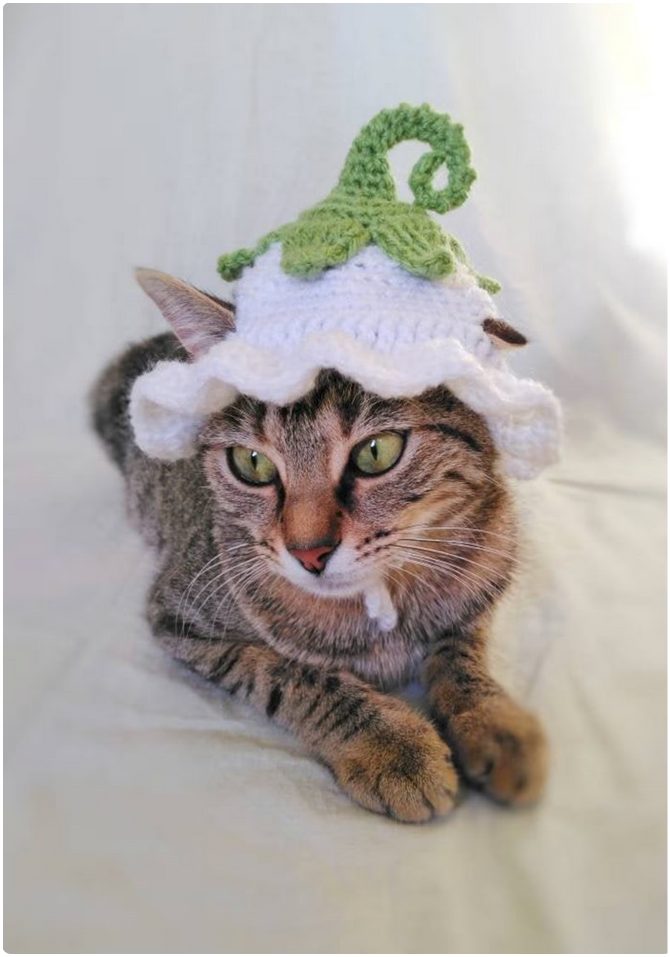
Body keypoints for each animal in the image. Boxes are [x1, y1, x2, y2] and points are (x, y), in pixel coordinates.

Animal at [92, 268, 548, 820]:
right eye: (251, 463)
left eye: (377, 451)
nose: (308, 553)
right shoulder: (179, 618)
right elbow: (293, 673)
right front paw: (392, 743)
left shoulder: (486, 580)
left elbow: (462, 653)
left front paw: (494, 721)